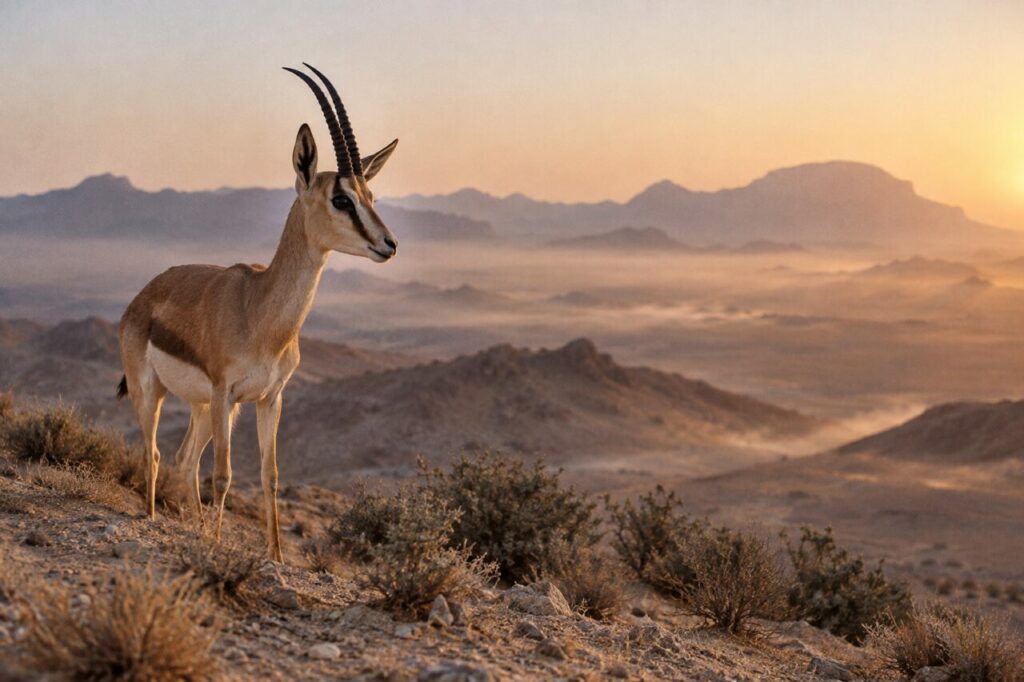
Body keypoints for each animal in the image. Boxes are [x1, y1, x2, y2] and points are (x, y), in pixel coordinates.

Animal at [117, 64, 399, 561]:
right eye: (340, 199)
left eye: (371, 195)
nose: (389, 244)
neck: (261, 314)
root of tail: (142, 298)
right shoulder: (226, 393)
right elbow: (224, 476)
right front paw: (218, 545)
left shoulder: (269, 399)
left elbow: (270, 477)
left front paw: (277, 556)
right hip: (152, 392)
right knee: (154, 453)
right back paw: (152, 517)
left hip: (204, 408)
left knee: (184, 458)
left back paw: (194, 527)